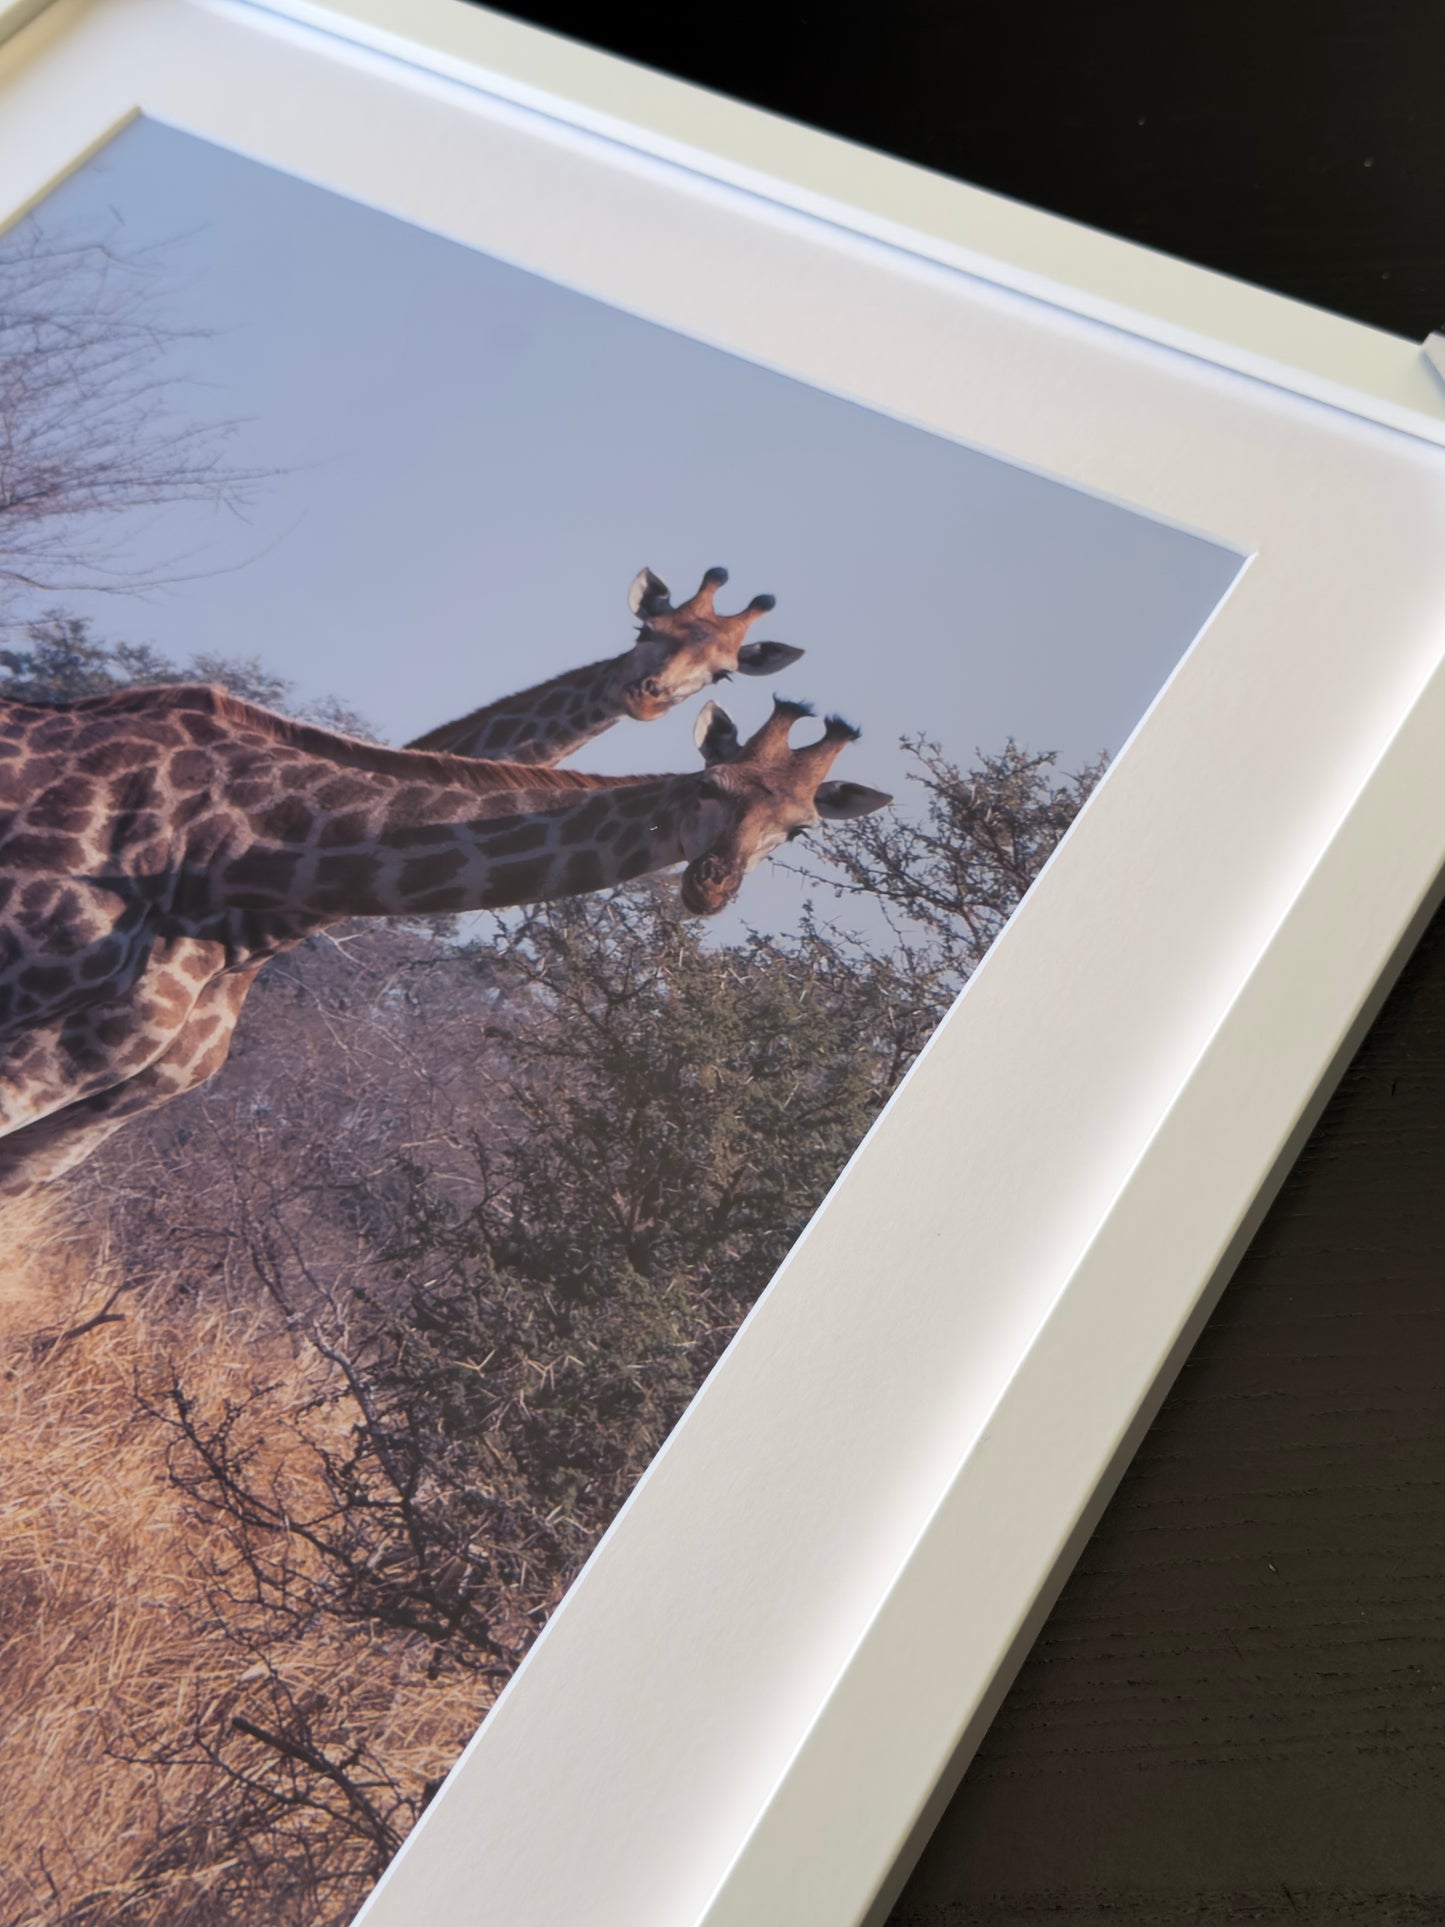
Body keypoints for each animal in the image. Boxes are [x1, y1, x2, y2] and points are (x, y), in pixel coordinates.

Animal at [0, 685, 889, 1197]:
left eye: (798, 829)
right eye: (710, 783)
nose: (710, 883)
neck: (237, 853)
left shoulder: (99, 1089)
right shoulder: (39, 1044)